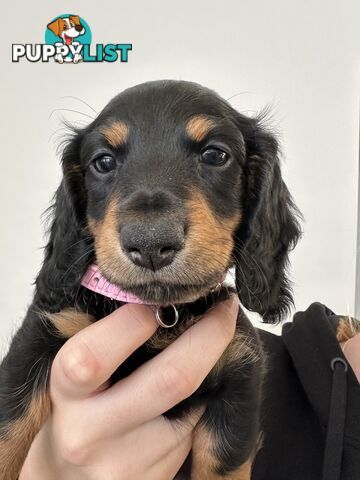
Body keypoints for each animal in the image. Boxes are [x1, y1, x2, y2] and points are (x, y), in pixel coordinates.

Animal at [0, 80, 300, 478]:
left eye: (215, 155)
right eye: (103, 162)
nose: (150, 242)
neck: (163, 312)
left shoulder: (240, 376)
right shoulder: (37, 339)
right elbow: (8, 429)